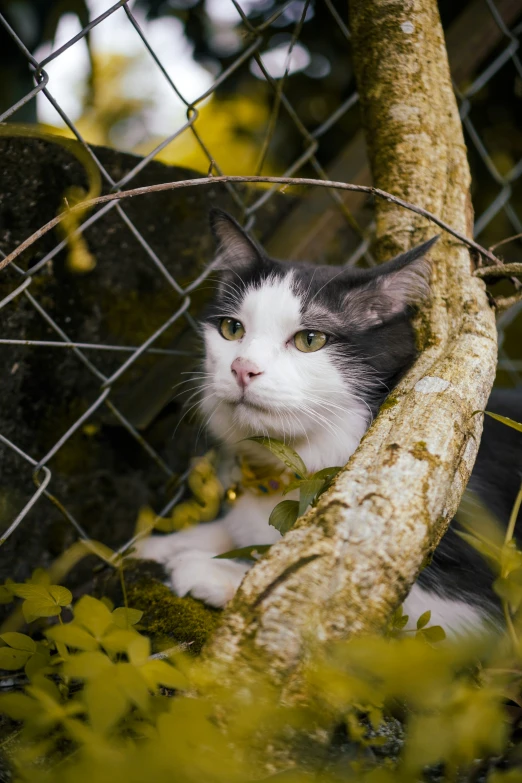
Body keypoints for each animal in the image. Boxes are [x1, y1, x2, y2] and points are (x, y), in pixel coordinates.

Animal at [138, 210, 520, 636]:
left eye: (310, 340)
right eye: (231, 329)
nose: (242, 369)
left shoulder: (476, 602)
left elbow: (324, 594)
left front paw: (212, 571)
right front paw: (161, 545)